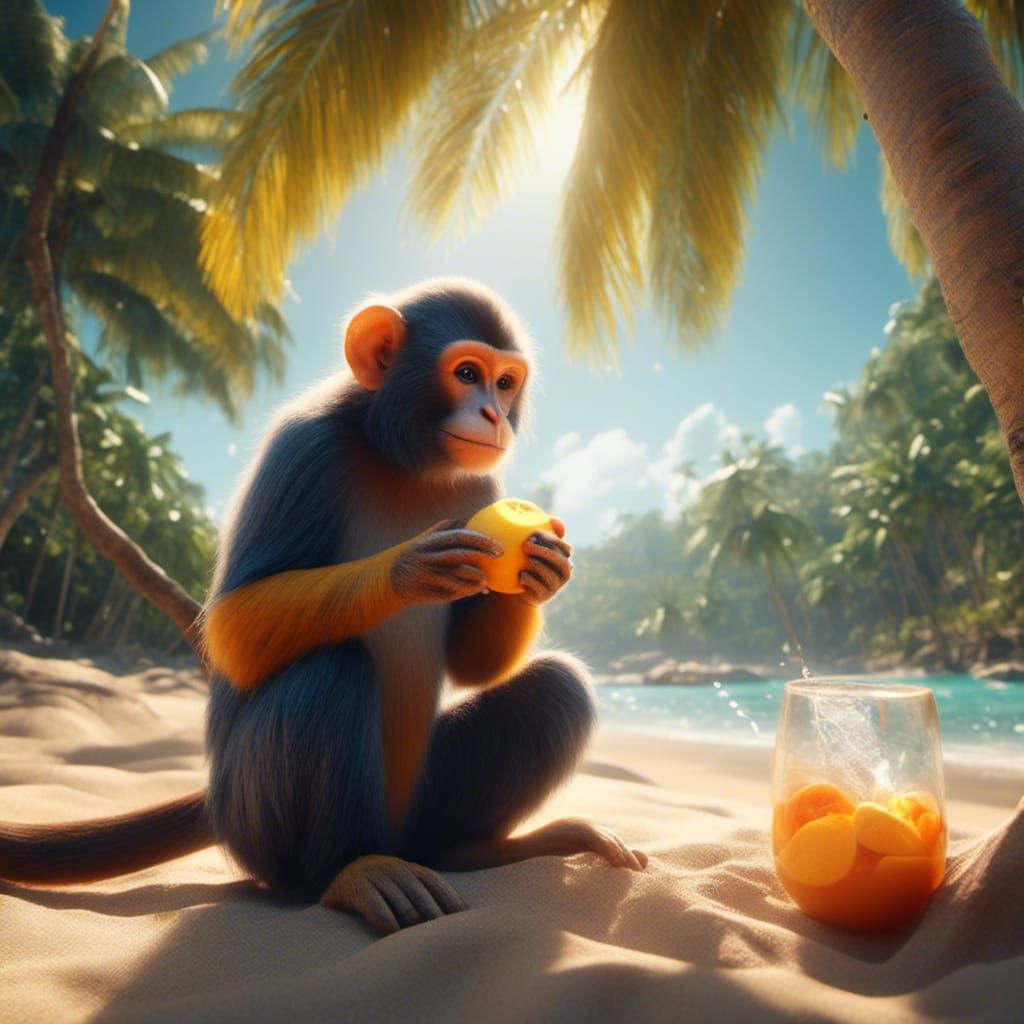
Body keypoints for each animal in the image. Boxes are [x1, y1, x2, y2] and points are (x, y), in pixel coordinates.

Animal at [0, 279, 647, 935]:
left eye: (506, 382)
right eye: (468, 374)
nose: (493, 415)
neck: (403, 460)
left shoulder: (479, 487)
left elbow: (473, 666)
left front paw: (544, 570)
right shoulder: (302, 447)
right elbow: (232, 628)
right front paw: (408, 567)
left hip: (420, 805)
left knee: (557, 689)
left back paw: (478, 850)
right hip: (252, 819)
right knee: (329, 672)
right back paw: (347, 873)